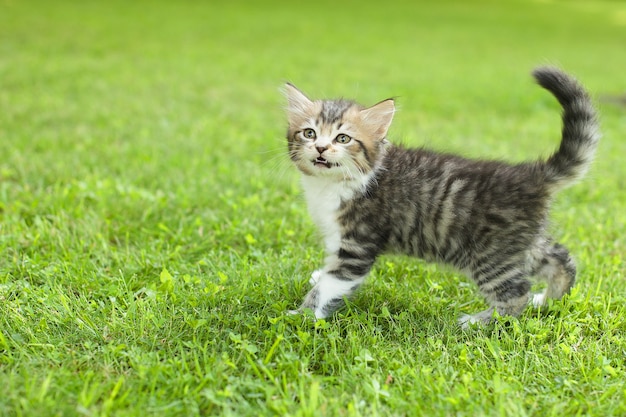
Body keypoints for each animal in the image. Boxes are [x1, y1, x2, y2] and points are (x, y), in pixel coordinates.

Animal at [282, 68, 596, 326]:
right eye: (309, 133)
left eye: (343, 139)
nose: (321, 148)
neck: (332, 184)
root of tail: (531, 174)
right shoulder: (337, 238)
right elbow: (327, 274)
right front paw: (316, 281)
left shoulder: (357, 244)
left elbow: (331, 284)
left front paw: (301, 316)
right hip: (521, 246)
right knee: (561, 258)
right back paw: (548, 299)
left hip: (490, 255)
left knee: (515, 293)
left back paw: (478, 322)